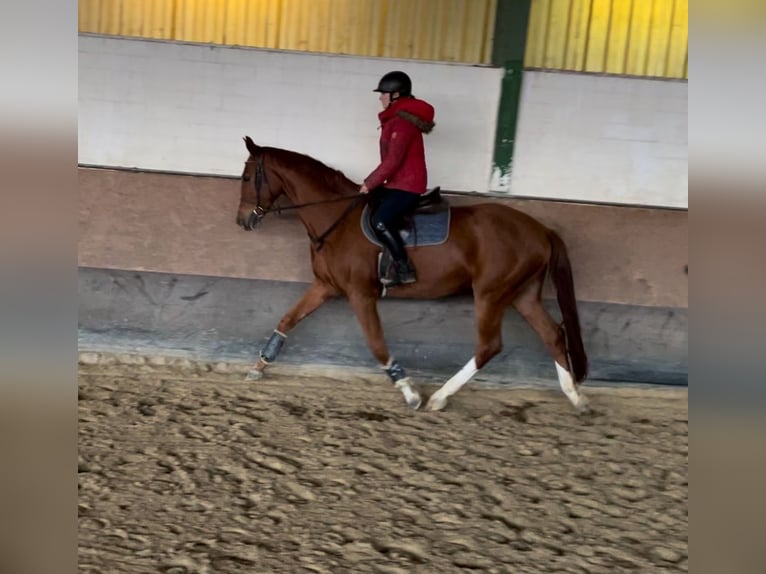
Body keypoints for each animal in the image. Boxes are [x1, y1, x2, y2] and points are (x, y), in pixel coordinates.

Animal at [234, 135, 588, 414]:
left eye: (247, 176)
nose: (242, 221)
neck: (336, 219)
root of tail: (541, 230)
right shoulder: (325, 286)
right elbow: (287, 320)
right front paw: (259, 366)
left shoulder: (360, 294)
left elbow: (377, 344)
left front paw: (409, 391)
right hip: (522, 294)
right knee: (552, 334)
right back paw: (575, 397)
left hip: (491, 293)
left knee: (489, 346)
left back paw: (440, 397)